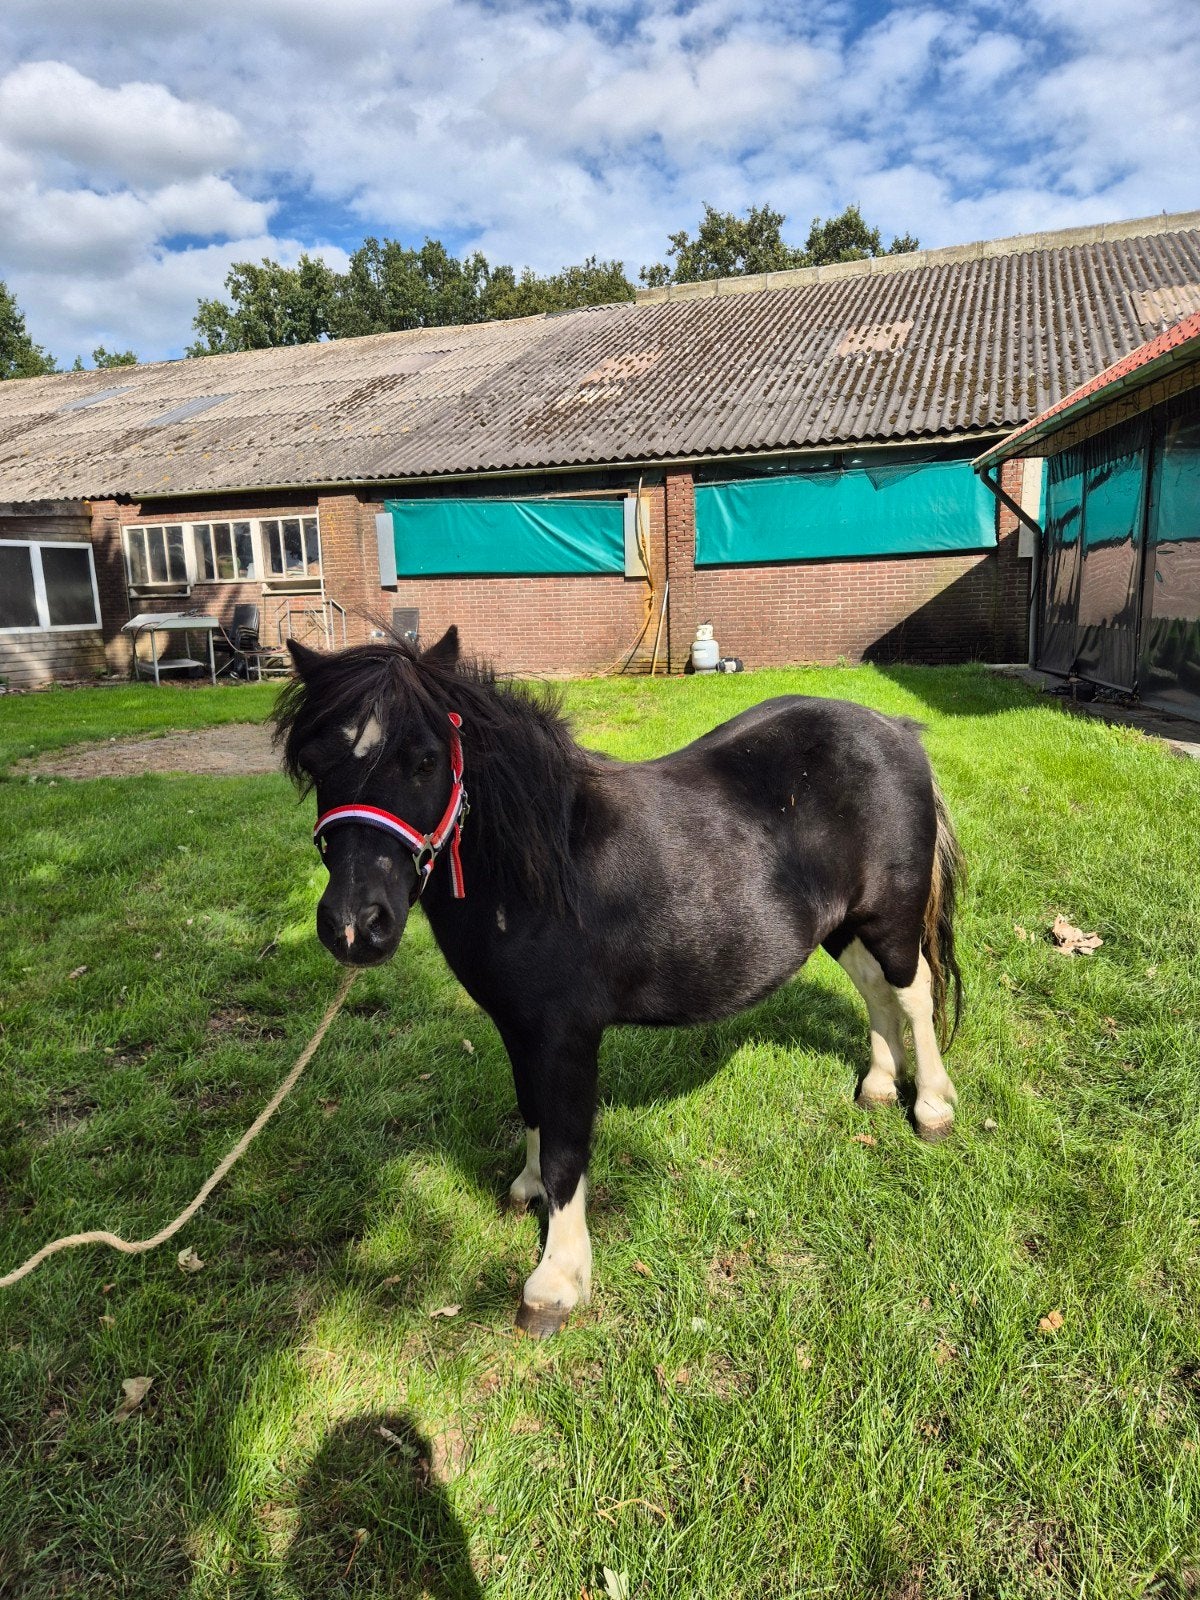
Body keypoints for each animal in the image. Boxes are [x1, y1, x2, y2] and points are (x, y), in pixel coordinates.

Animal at [275, 626, 965, 1337]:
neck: (540, 867)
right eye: (317, 762)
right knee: (875, 990)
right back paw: (879, 1086)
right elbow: (533, 1110)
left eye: (425, 759)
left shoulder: (566, 1035)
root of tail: (897, 730)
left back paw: (932, 1106)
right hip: (843, 924)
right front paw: (528, 1192)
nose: (356, 926)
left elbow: (566, 1148)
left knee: (912, 993)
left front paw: (556, 1281)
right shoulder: (520, 1028)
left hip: (890, 915)